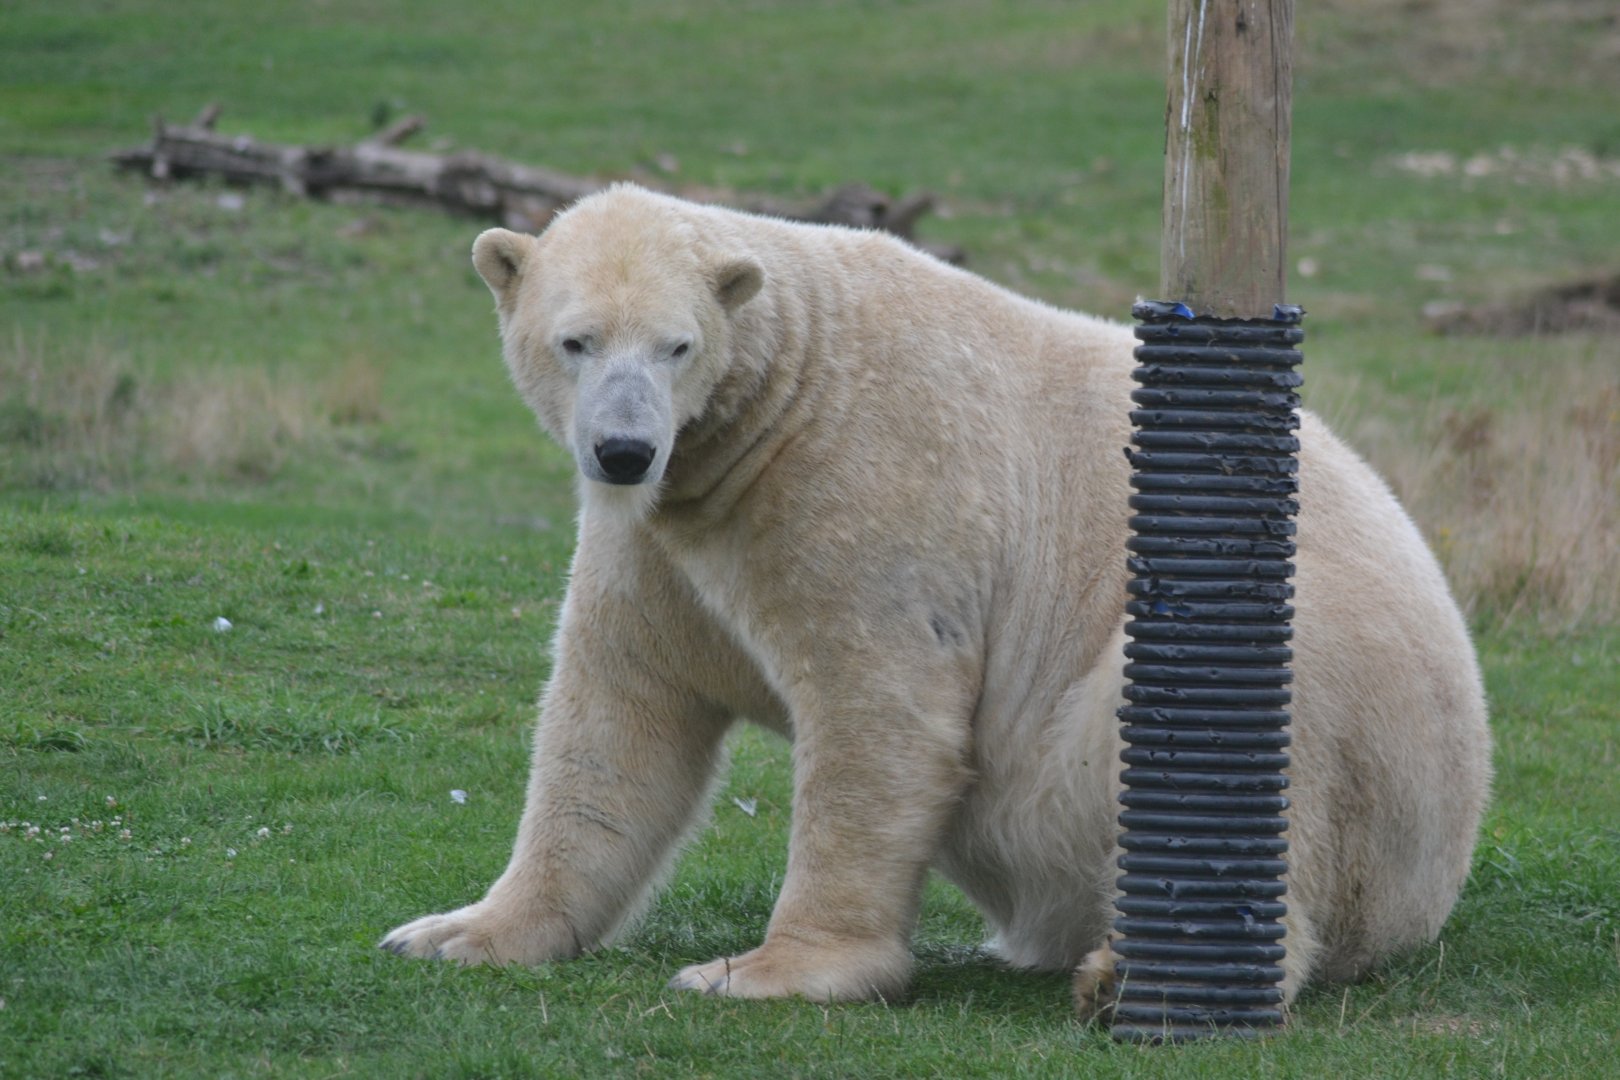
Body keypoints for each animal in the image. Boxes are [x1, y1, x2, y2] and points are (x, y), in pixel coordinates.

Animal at [380, 184, 1491, 1015]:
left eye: (676, 346)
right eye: (574, 341)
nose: (621, 447)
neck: (783, 395)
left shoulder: (863, 495)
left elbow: (880, 715)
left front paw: (766, 971)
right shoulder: (659, 540)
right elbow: (618, 720)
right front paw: (455, 933)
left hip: (1337, 698)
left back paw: (1130, 974)